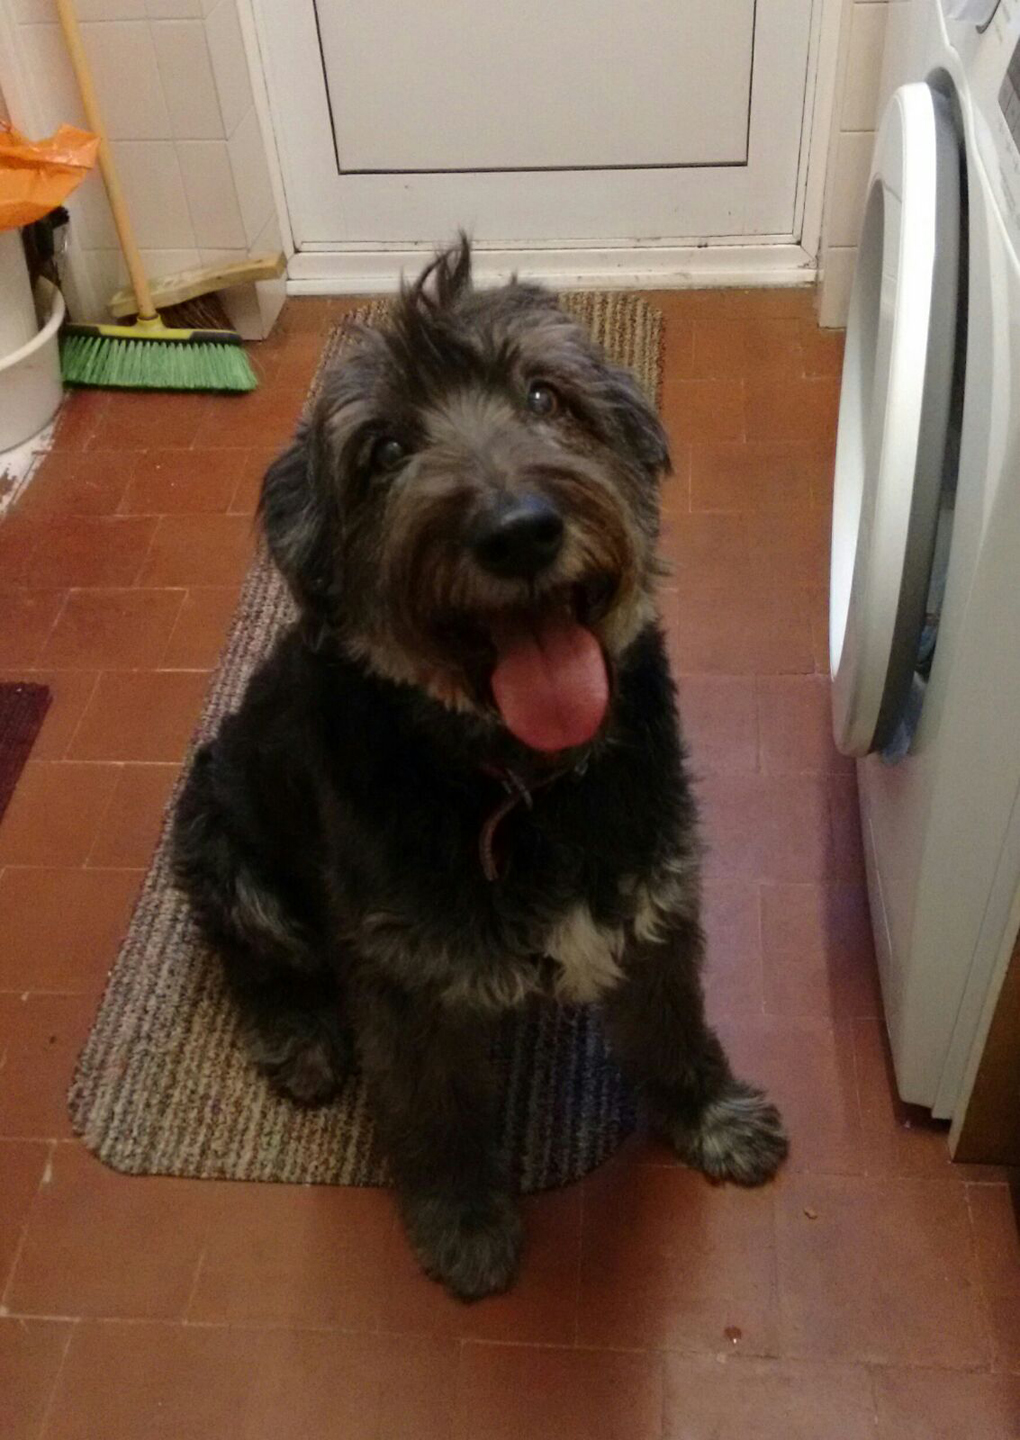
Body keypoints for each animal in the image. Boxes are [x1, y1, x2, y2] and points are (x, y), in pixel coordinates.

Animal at [171, 241, 783, 1301]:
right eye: (383, 451)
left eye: (545, 395)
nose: (519, 530)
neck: (521, 782)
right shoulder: (405, 977)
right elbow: (439, 1111)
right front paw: (462, 1221)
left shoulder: (651, 897)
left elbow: (673, 1027)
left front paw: (710, 1115)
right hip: (215, 834)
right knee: (252, 956)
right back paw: (301, 1035)